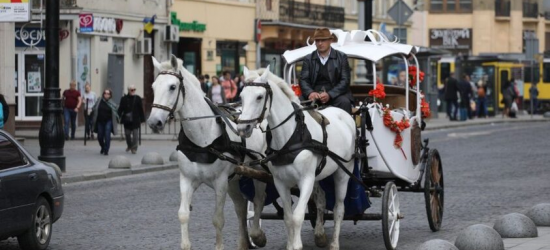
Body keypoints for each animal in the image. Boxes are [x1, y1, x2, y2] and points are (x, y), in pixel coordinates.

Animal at [146, 55, 268, 250]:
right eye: (153, 87)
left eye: (172, 87)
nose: (153, 122)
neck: (202, 138)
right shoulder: (187, 179)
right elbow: (183, 214)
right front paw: (185, 244)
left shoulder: (220, 182)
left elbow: (218, 219)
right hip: (234, 179)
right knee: (241, 207)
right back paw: (243, 242)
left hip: (260, 171)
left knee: (258, 201)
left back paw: (257, 235)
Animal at [237, 67, 358, 250]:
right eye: (242, 96)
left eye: (259, 97)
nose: (242, 128)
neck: (291, 136)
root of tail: (345, 114)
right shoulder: (281, 182)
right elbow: (288, 217)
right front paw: (291, 244)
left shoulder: (306, 180)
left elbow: (297, 216)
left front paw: (296, 245)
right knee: (321, 199)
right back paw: (320, 235)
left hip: (343, 172)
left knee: (339, 208)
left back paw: (334, 243)